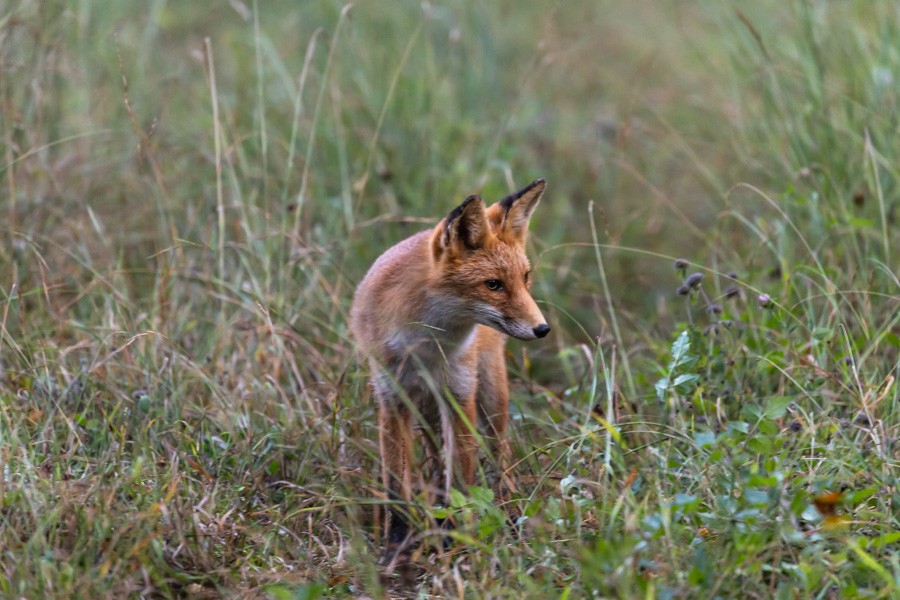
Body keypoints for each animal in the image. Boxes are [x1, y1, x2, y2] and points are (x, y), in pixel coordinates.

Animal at [350, 177, 548, 564]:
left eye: (525, 278)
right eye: (493, 284)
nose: (542, 328)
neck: (426, 347)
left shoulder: (460, 393)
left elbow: (460, 481)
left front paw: (455, 541)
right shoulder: (392, 398)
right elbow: (397, 488)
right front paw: (396, 550)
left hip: (491, 397)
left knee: (500, 462)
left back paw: (508, 518)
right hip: (426, 413)